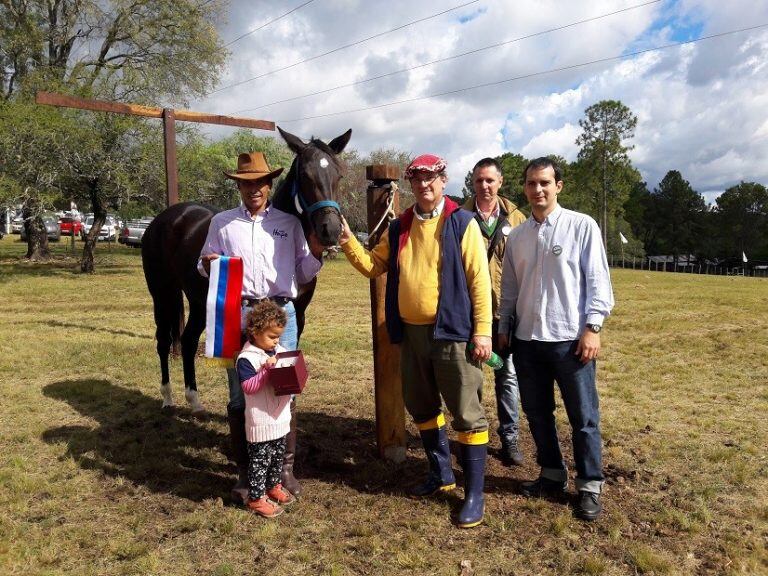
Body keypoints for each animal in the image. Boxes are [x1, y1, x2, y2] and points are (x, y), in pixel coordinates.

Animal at [141, 126, 352, 414]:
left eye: (338, 175)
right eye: (305, 175)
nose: (330, 230)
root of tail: (163, 219)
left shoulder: (298, 310)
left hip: (198, 302)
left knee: (188, 341)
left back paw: (194, 401)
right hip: (162, 294)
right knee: (163, 341)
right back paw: (168, 398)